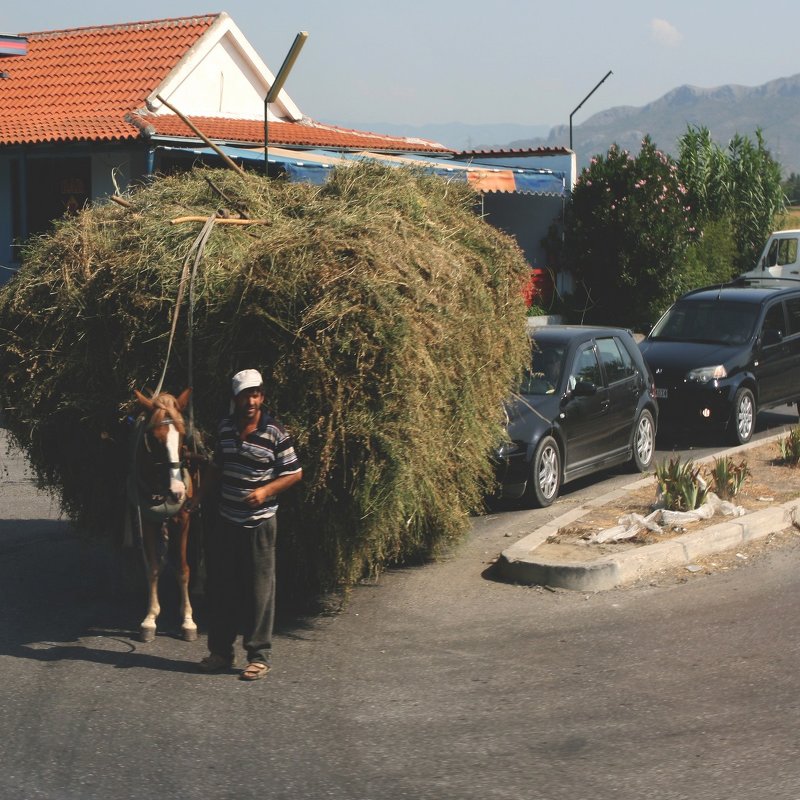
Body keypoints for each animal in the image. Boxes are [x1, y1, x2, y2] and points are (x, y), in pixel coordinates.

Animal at [128, 388, 198, 644]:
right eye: (155, 440)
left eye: (183, 436)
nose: (177, 492)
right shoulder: (148, 520)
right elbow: (154, 567)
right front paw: (150, 617)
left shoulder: (184, 519)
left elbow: (183, 569)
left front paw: (187, 619)